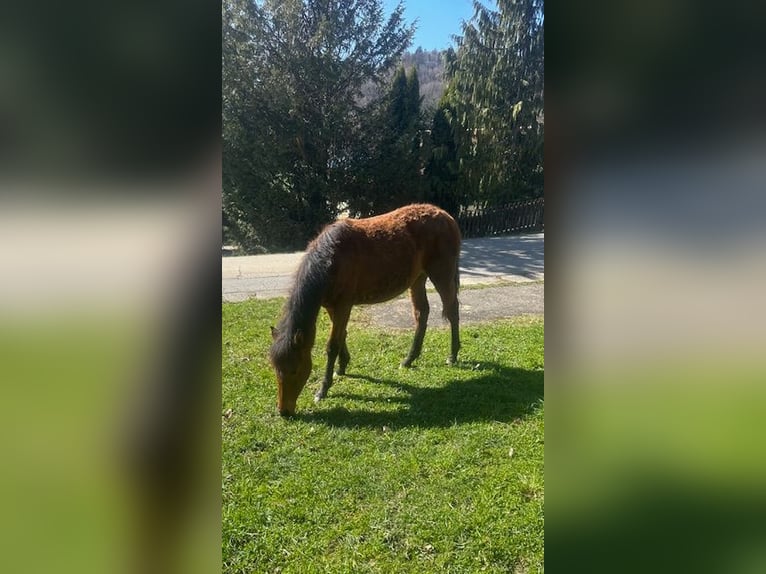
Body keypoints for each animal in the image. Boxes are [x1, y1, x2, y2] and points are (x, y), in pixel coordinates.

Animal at [268, 203, 461, 417]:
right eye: (275, 368)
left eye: (295, 369)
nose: (284, 411)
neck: (331, 260)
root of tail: (446, 216)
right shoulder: (331, 306)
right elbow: (342, 336)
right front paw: (342, 366)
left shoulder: (343, 305)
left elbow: (332, 345)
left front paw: (323, 389)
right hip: (418, 278)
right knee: (422, 313)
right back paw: (409, 359)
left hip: (442, 274)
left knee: (452, 311)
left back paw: (452, 355)